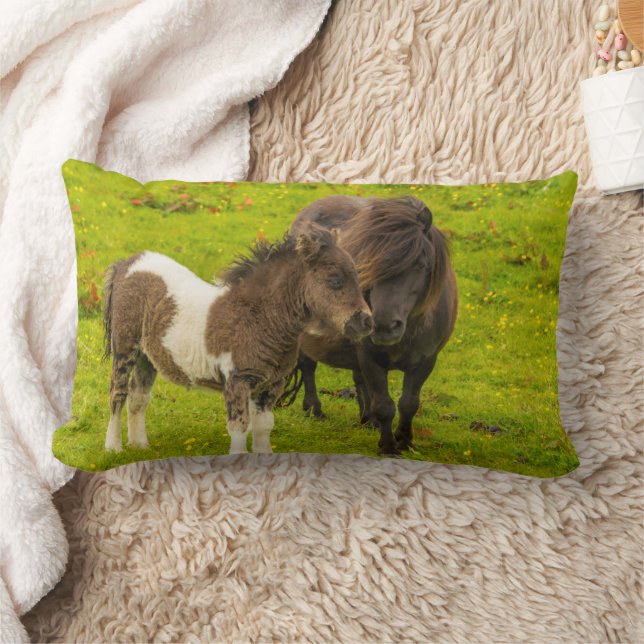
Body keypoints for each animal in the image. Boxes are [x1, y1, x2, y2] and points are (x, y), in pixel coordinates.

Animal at [101, 224, 374, 455]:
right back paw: (114, 447)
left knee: (138, 397)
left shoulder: (271, 384)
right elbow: (239, 426)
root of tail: (127, 263)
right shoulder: (237, 380)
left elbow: (263, 426)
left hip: (147, 358)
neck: (258, 318)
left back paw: (140, 446)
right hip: (125, 348)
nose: (366, 322)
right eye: (334, 280)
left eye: (357, 276)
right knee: (118, 394)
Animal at [288, 195, 458, 455]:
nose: (384, 326)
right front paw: (388, 447)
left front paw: (405, 441)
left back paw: (367, 419)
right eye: (369, 265)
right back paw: (314, 410)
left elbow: (409, 403)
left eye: (420, 264)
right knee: (308, 366)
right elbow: (385, 405)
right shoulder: (370, 356)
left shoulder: (426, 361)